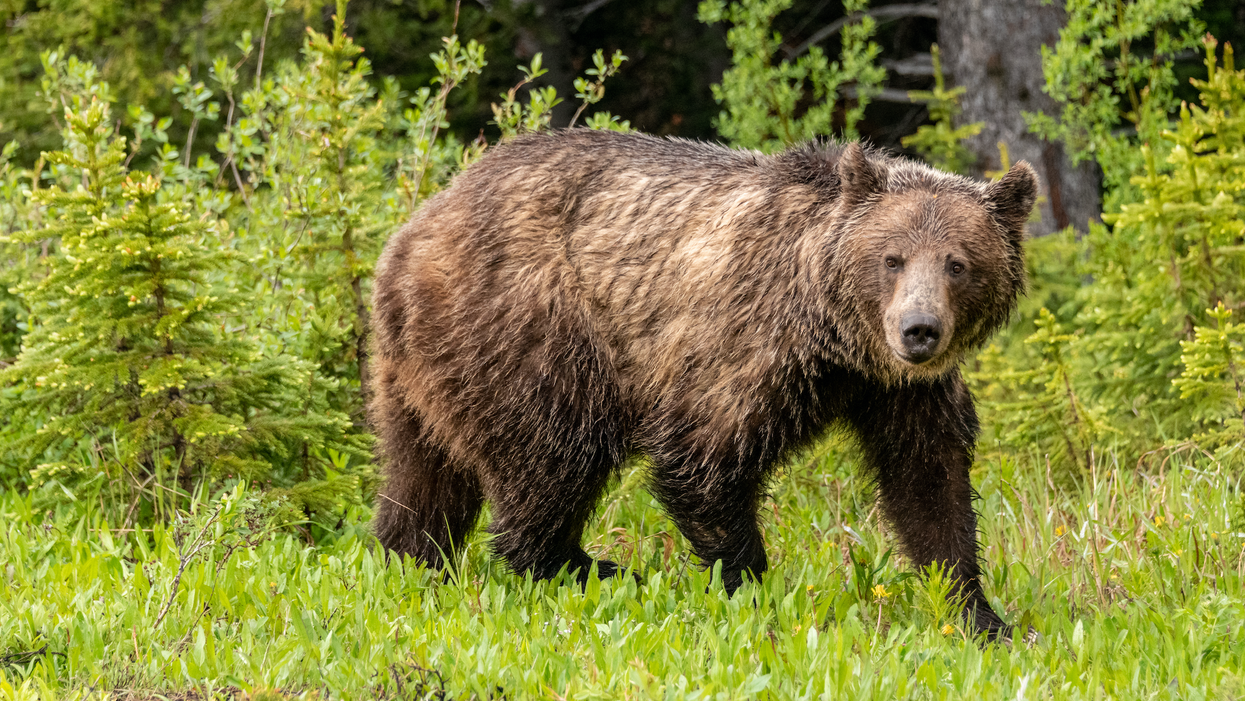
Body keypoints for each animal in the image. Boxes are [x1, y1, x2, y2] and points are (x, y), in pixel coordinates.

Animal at [369, 129, 1038, 641]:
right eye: (892, 258)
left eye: (958, 263)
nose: (919, 329)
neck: (837, 337)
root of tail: (413, 231)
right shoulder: (745, 345)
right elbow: (705, 460)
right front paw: (752, 588)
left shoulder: (902, 392)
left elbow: (929, 481)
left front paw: (981, 616)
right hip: (531, 331)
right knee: (552, 455)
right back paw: (595, 568)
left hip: (423, 373)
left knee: (423, 476)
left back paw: (409, 556)